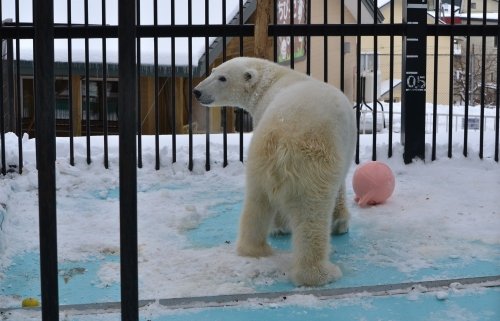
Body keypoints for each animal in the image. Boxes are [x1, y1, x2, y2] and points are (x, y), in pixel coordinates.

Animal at [191, 57, 356, 284]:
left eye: (221, 76)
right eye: (213, 72)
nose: (197, 91)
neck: (271, 79)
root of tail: (283, 144)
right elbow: (340, 188)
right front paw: (340, 222)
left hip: (259, 159)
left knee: (256, 203)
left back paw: (255, 249)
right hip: (313, 166)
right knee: (312, 215)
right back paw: (320, 273)